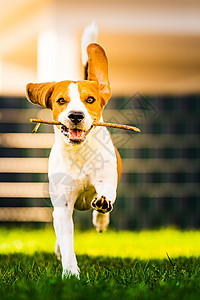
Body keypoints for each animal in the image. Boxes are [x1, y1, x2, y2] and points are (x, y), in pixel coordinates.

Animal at [25, 24, 121, 278]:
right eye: (61, 100)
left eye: (90, 99)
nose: (76, 115)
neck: (80, 153)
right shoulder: (63, 206)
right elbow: (67, 240)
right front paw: (70, 274)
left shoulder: (106, 178)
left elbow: (106, 193)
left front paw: (103, 205)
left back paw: (101, 218)